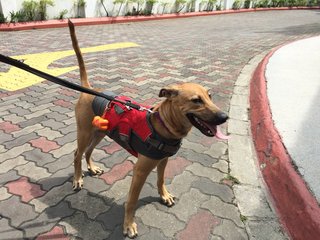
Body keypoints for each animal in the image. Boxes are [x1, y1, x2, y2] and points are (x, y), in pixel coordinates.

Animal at [67, 19, 229, 237]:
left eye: (210, 96)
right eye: (196, 100)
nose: (224, 117)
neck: (164, 125)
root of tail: (88, 90)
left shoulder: (163, 160)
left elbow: (160, 180)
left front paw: (164, 195)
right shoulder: (140, 171)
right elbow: (132, 201)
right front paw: (128, 225)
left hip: (100, 132)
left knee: (88, 152)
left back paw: (92, 168)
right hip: (84, 132)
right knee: (77, 154)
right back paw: (77, 179)